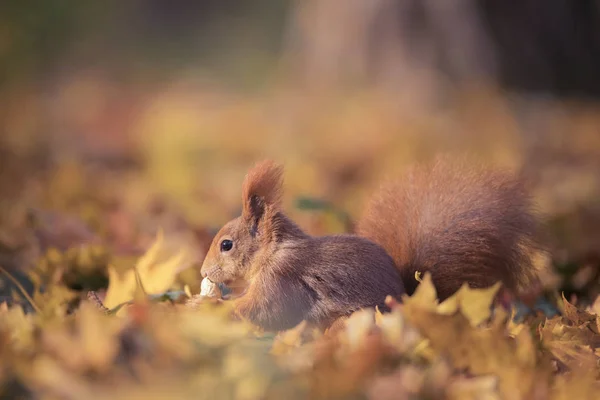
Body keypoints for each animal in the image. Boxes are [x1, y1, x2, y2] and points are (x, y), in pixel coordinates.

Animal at [199, 158, 540, 332]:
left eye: (226, 244)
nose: (203, 271)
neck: (273, 251)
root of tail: (411, 300)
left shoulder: (281, 279)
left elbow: (263, 309)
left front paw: (208, 304)